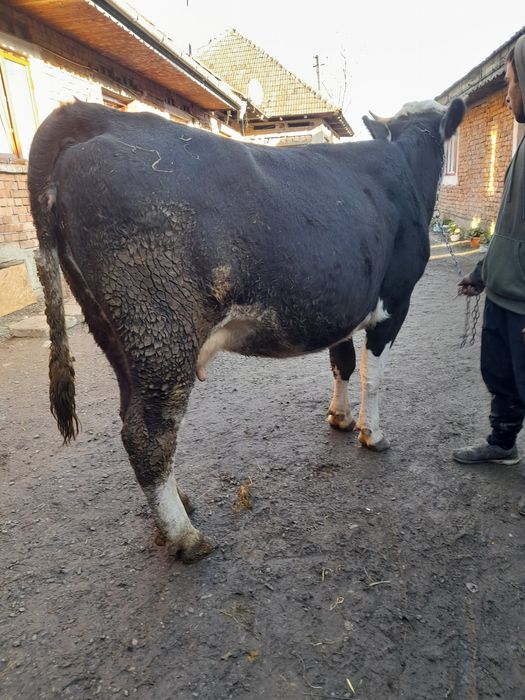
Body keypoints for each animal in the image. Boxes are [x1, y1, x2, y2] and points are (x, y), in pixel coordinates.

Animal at [28, 98, 465, 562]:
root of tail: (99, 117)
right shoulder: (394, 300)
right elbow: (373, 375)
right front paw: (373, 433)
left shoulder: (345, 302)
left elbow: (342, 362)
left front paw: (341, 417)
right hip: (161, 330)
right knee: (148, 432)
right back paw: (185, 536)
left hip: (117, 334)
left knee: (135, 417)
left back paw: (180, 503)